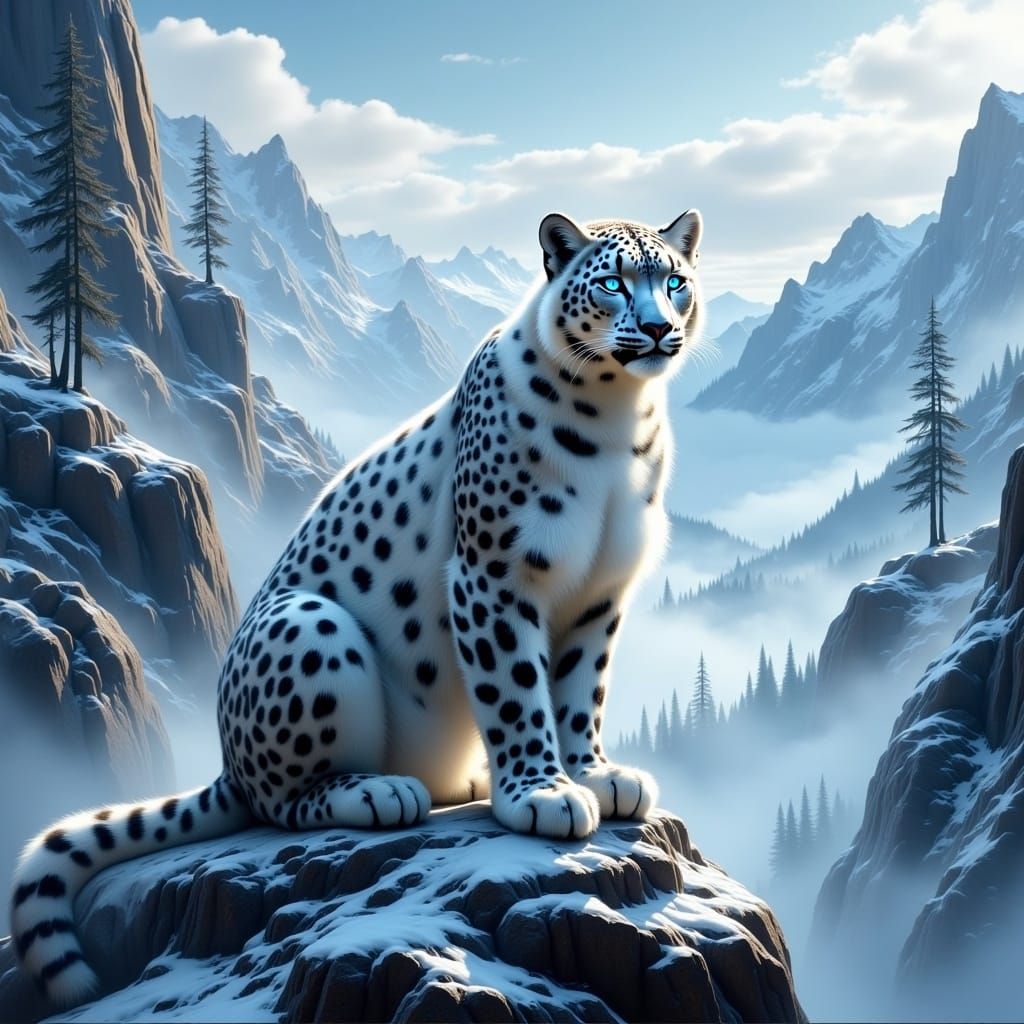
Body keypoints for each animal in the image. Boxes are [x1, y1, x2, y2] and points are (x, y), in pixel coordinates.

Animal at [10, 209, 704, 1007]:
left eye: (674, 282)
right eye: (614, 283)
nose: (656, 327)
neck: (621, 419)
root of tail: (229, 758)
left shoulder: (598, 598)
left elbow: (579, 690)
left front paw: (592, 774)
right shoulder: (493, 575)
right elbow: (517, 691)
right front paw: (541, 791)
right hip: (308, 628)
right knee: (280, 801)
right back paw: (377, 792)